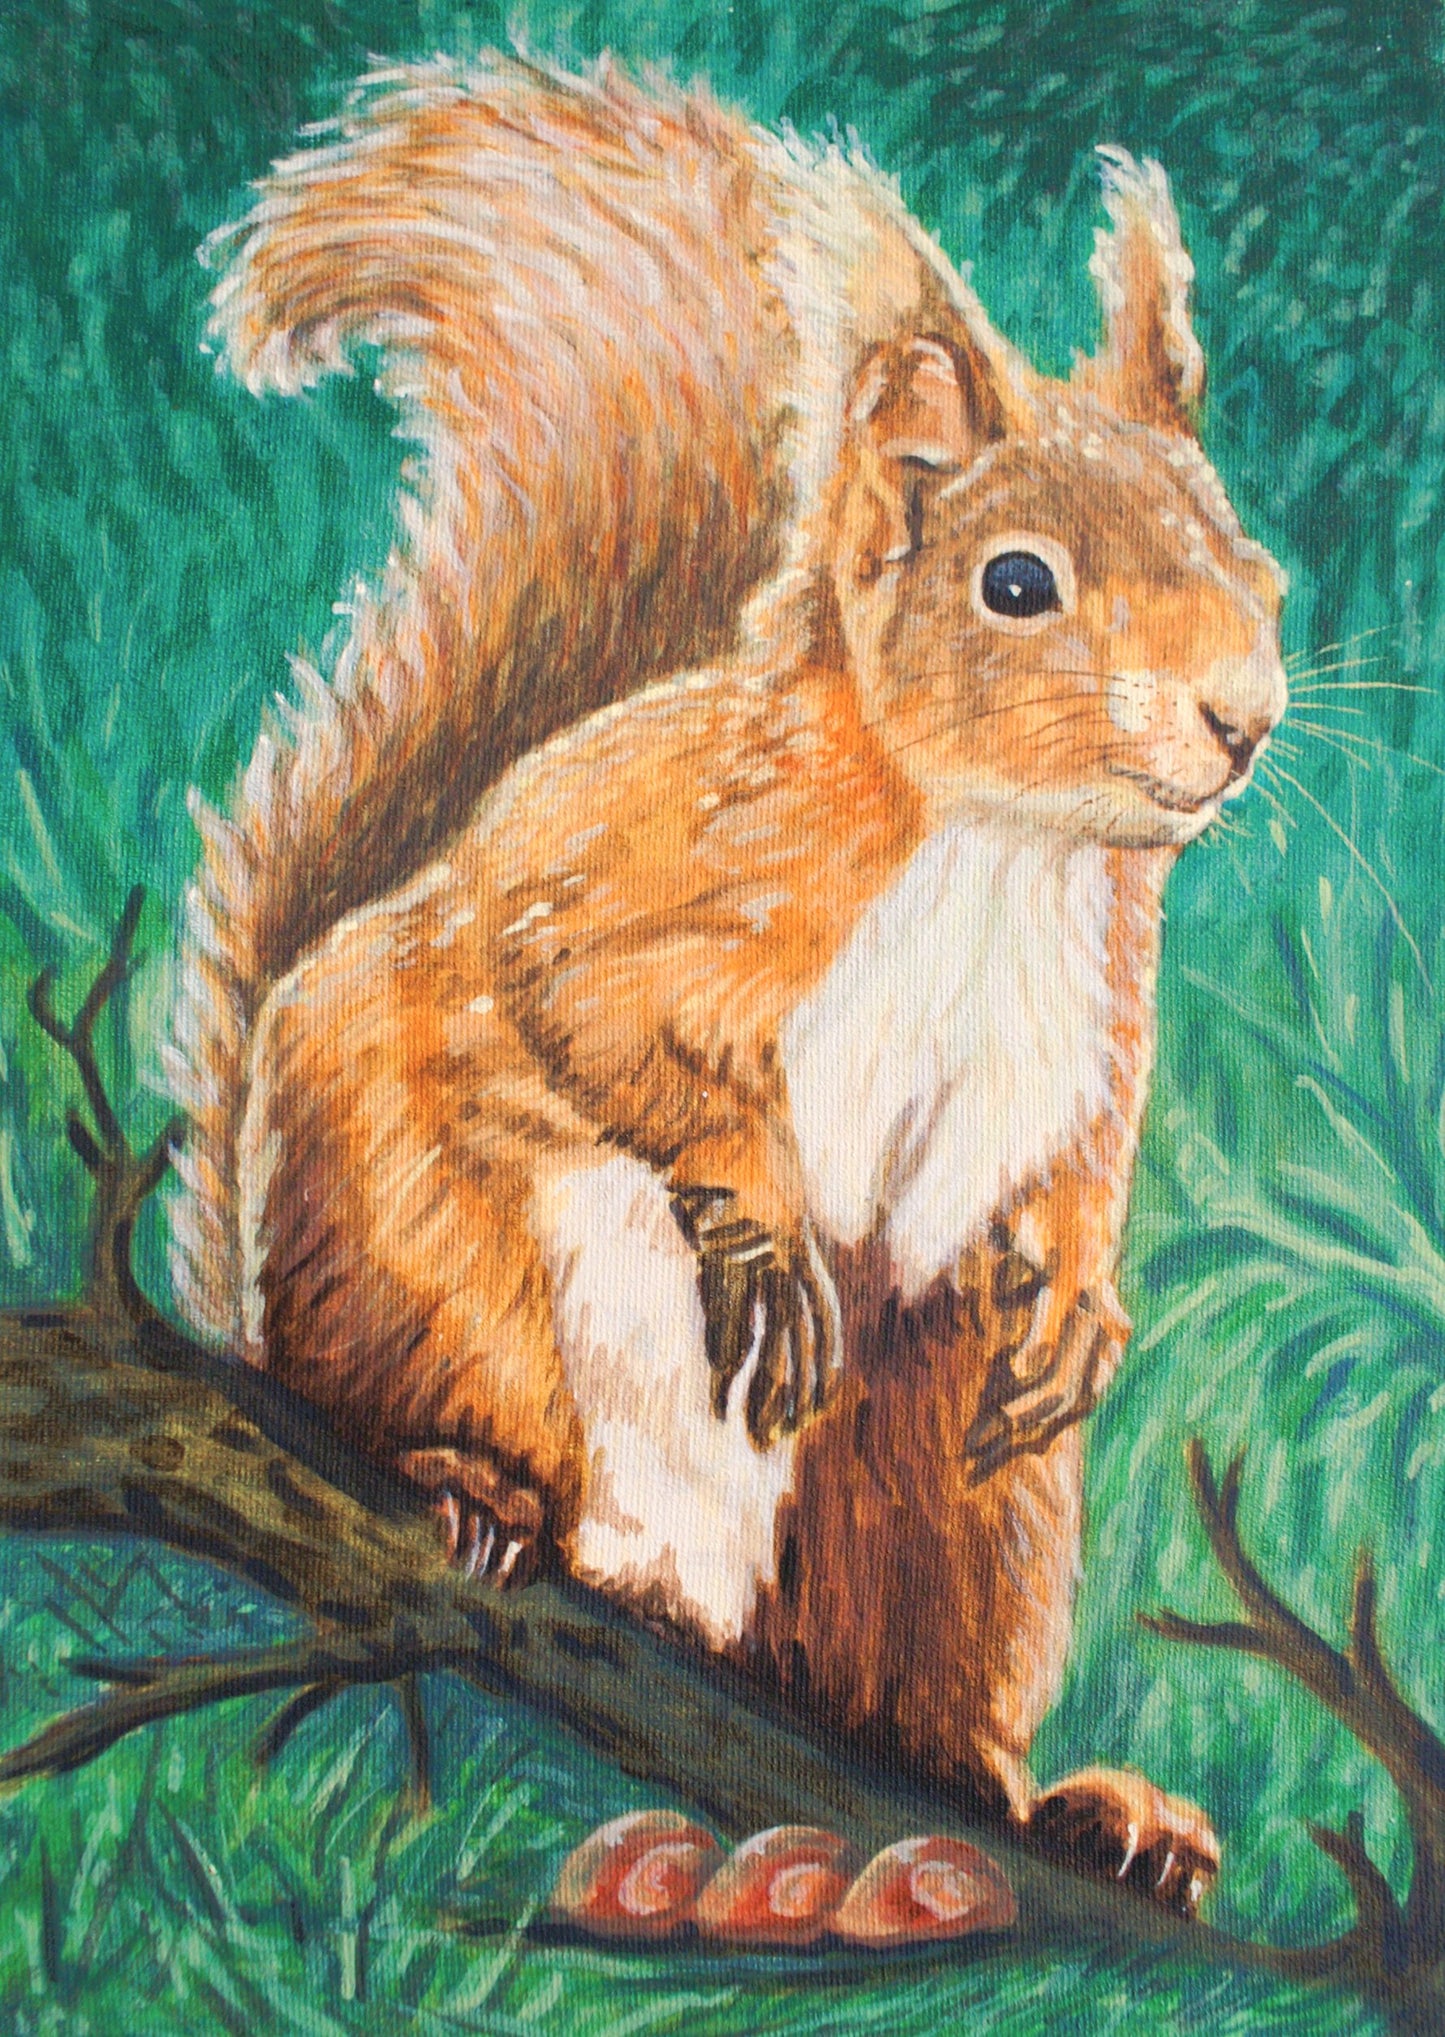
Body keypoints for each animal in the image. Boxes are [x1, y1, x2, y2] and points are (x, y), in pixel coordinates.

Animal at [168, 51, 1286, 1914]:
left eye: (1257, 567)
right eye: (1018, 582)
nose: (1242, 721)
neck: (1003, 847)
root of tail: (682, 1594)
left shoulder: (1089, 1022)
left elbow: (1076, 1170)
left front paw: (1082, 1294)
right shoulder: (644, 861)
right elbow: (589, 1003)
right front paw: (758, 1220)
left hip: (948, 1487)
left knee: (910, 1677)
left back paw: (1062, 1805)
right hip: (435, 1269)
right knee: (421, 1390)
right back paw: (468, 1484)